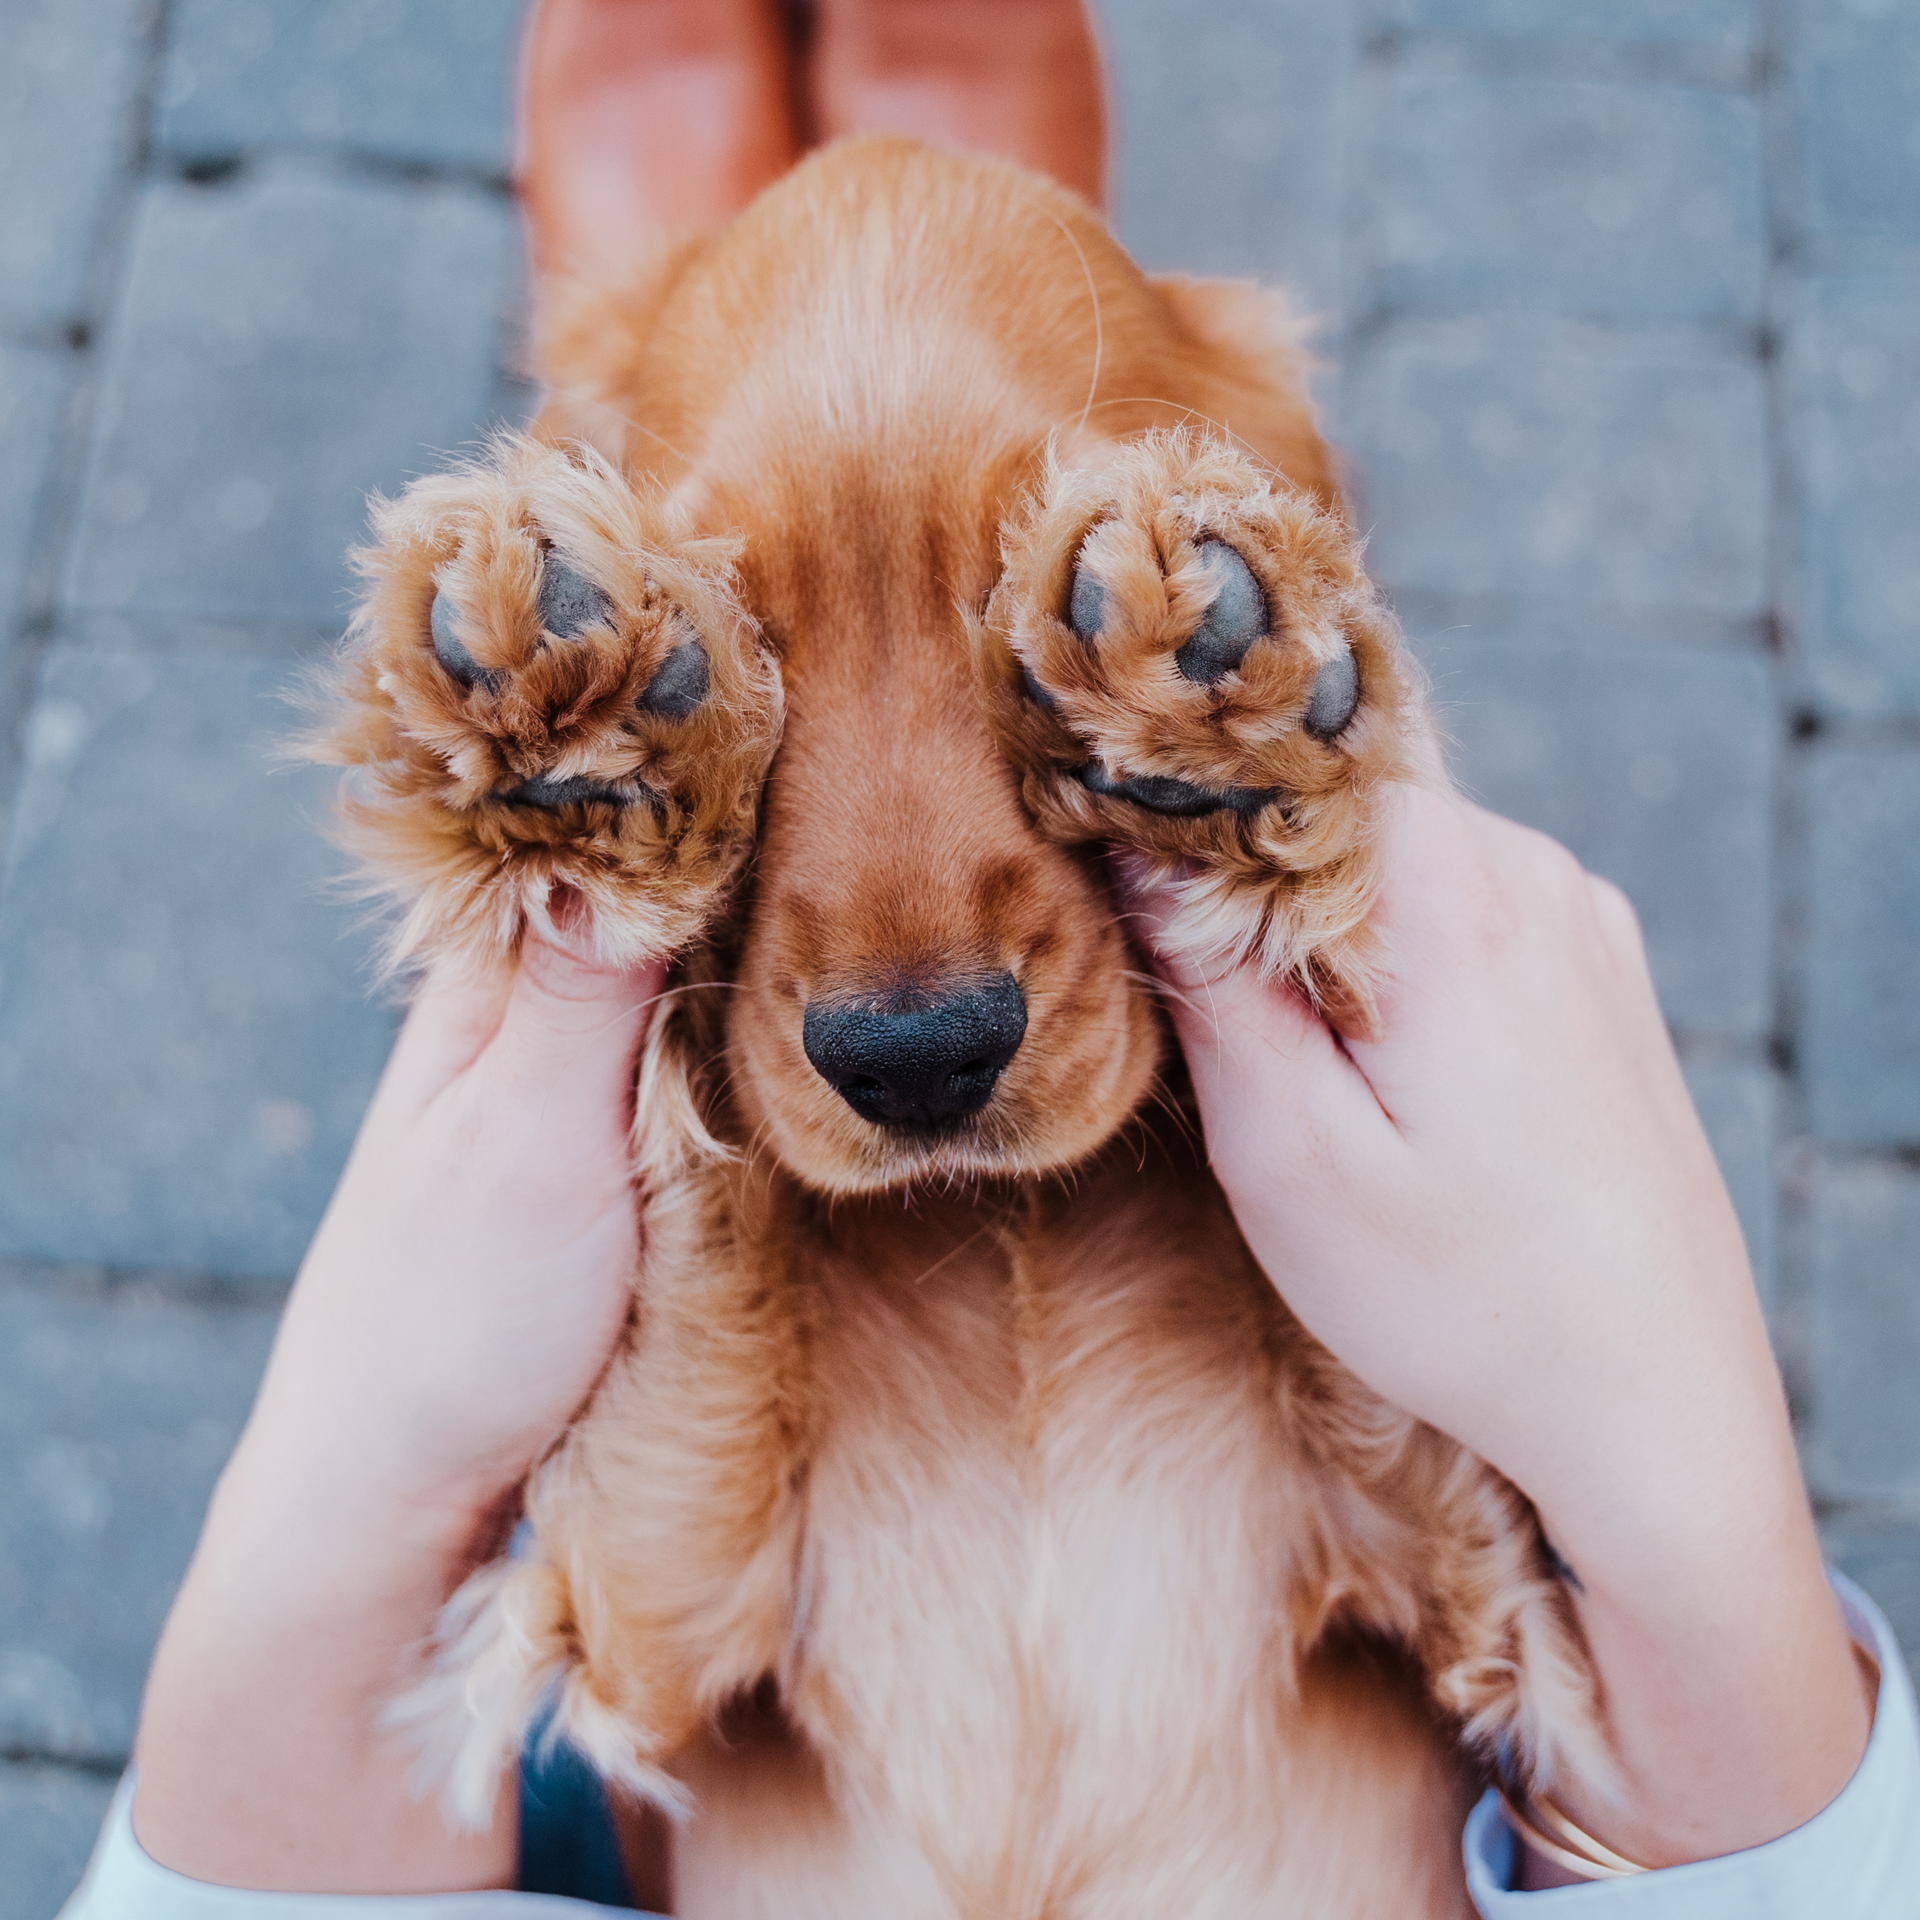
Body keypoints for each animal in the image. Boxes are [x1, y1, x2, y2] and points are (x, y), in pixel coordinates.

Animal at [314, 139, 1605, 1920]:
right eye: (745, 622)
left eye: (1023, 596)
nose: (917, 1061)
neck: (1012, 1247)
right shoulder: (654, 1609)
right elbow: (693, 1230)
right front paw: (576, 730)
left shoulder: (1480, 1594)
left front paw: (1232, 718)